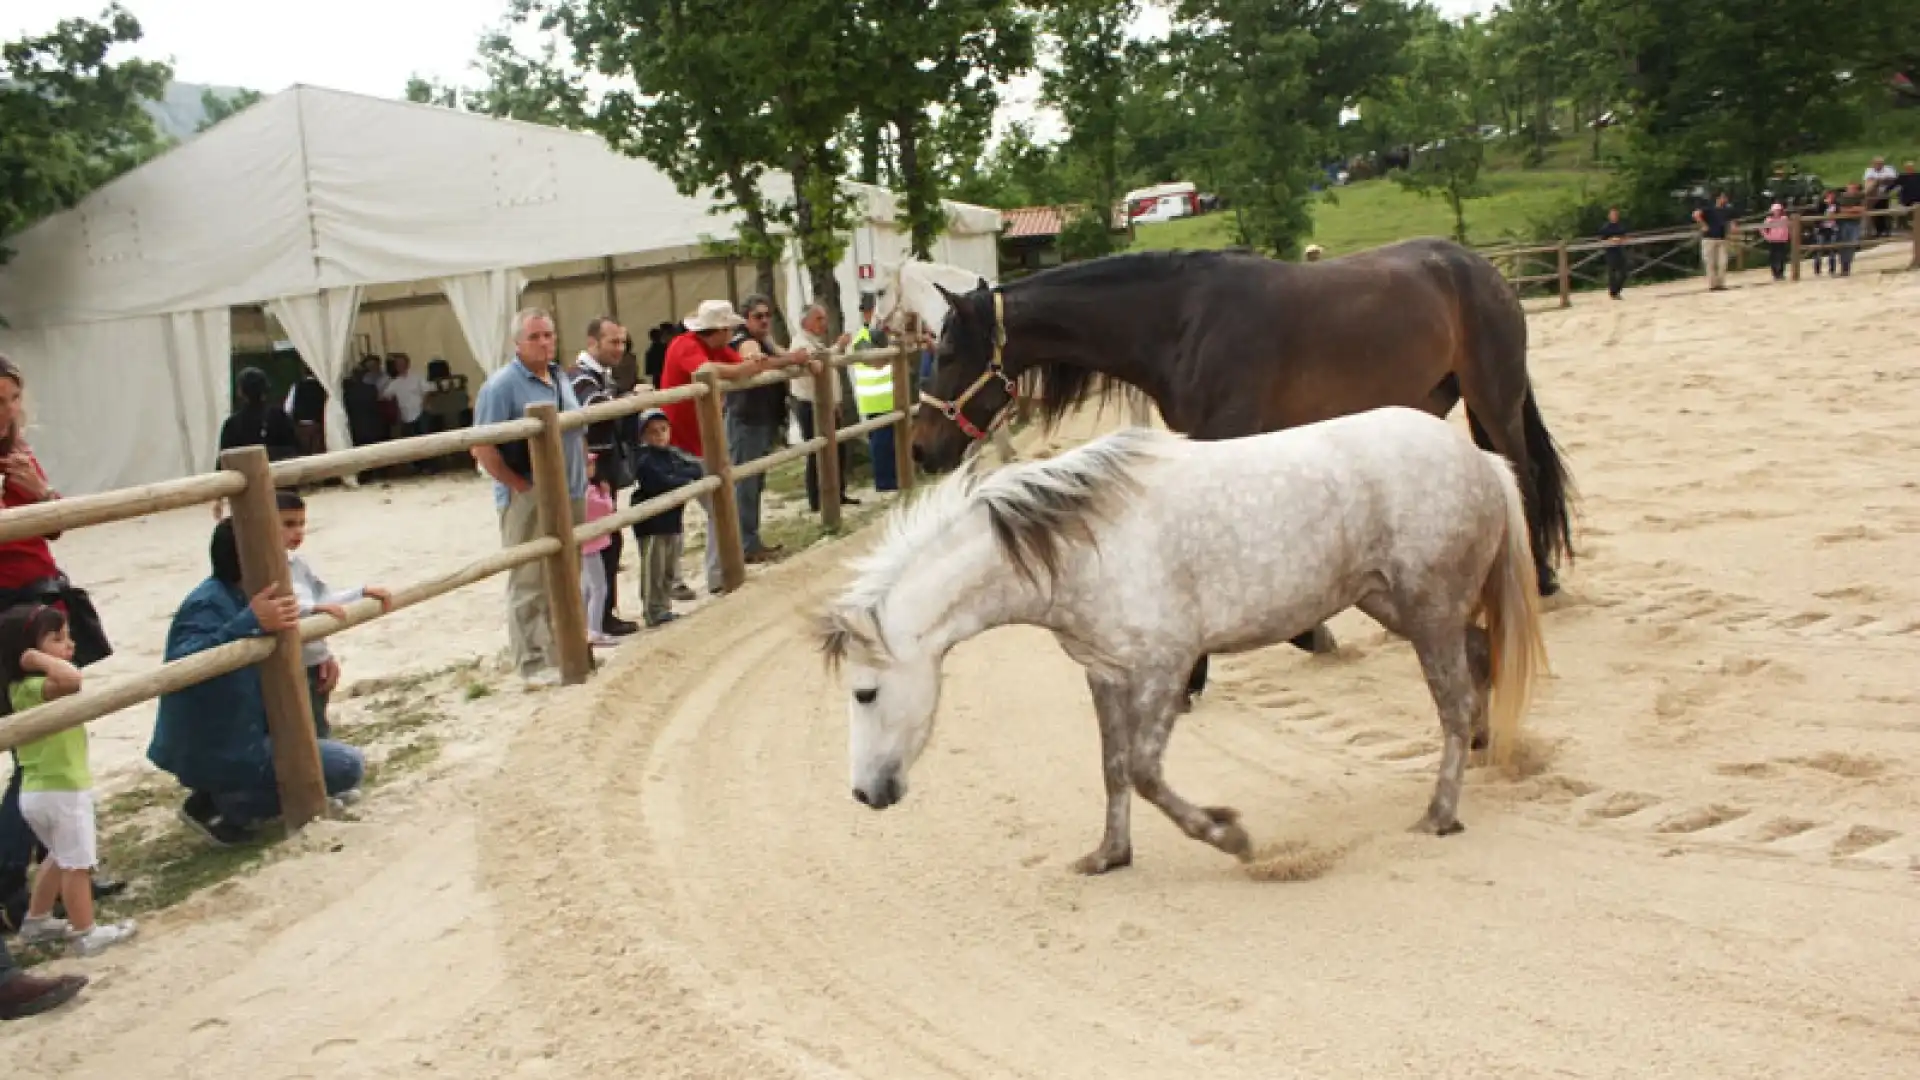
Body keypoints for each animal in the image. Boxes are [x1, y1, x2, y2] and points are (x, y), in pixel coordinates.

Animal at [817, 405, 1551, 876]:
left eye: (865, 692)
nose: (864, 793)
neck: (1081, 544)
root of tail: (1481, 459)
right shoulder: (1105, 672)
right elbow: (1113, 768)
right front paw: (1108, 856)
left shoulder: (1164, 667)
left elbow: (1145, 772)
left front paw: (1231, 837)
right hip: (1399, 606)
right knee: (1479, 662)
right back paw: (1486, 757)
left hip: (1427, 611)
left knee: (1453, 703)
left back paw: (1440, 812)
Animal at [913, 235, 1574, 687]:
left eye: (946, 354)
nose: (921, 448)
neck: (1183, 321)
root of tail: (1480, 267)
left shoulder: (1225, 434)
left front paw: (1205, 670)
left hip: (1495, 400)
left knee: (1524, 477)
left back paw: (1541, 579)